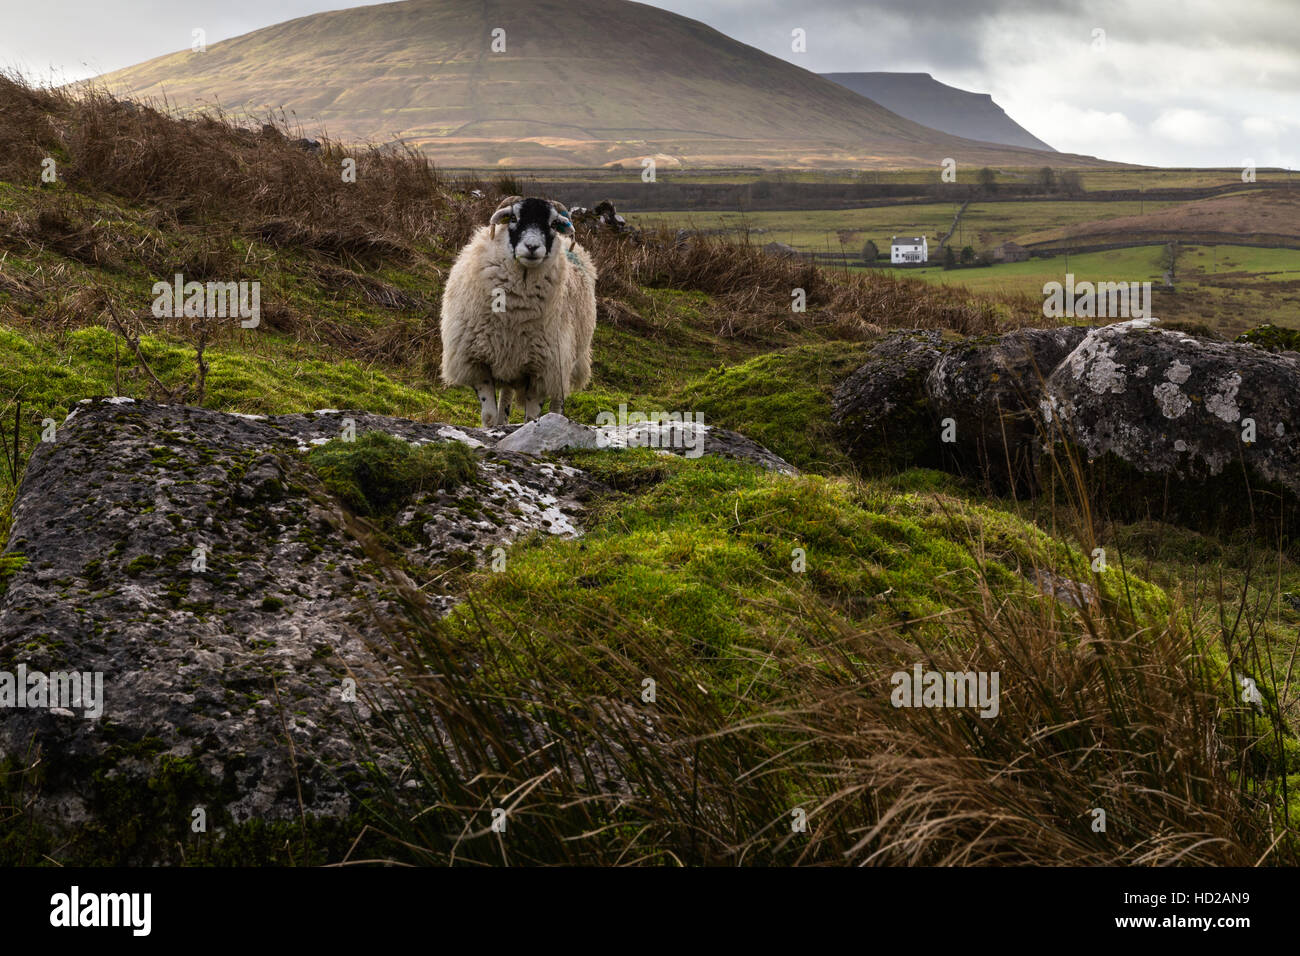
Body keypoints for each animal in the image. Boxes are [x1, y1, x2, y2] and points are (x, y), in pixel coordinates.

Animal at [439, 195, 595, 426]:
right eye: (513, 218)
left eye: (552, 224)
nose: (532, 246)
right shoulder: (477, 361)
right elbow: (488, 414)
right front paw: (491, 427)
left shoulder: (542, 369)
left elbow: (532, 416)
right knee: (506, 395)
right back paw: (502, 422)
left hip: (565, 360)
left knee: (557, 399)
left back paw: (557, 418)